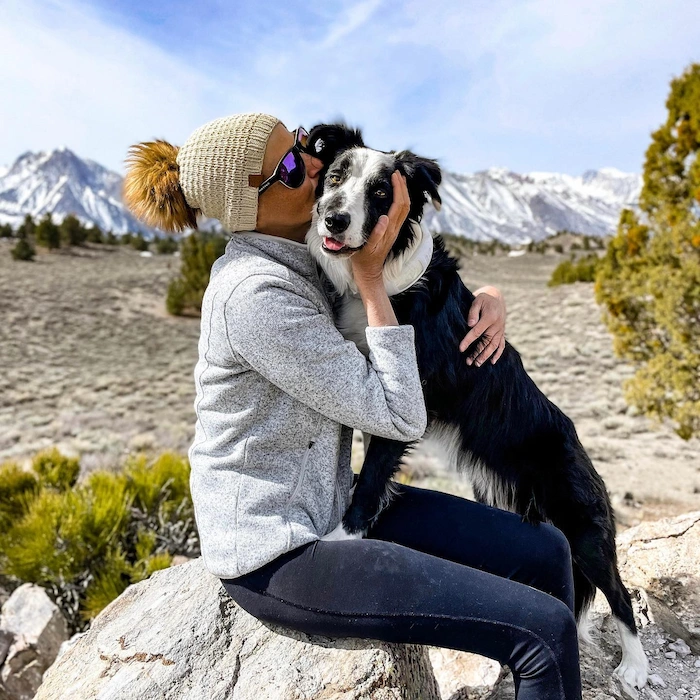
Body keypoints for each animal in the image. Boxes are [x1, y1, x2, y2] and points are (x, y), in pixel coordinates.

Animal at [306, 123, 652, 688]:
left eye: (380, 193)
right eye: (336, 176)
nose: (334, 217)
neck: (379, 279)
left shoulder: (410, 398)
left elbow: (374, 473)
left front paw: (343, 535)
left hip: (582, 526)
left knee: (619, 594)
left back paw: (636, 666)